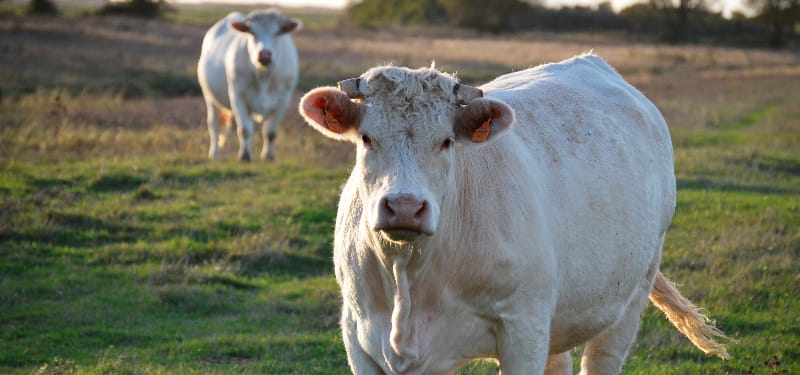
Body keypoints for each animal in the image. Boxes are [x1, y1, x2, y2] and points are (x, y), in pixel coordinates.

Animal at [197, 8, 300, 162]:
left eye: (277, 32)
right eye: (252, 32)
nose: (264, 54)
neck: (263, 76)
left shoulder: (283, 100)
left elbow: (271, 131)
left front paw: (268, 156)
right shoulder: (238, 97)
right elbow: (245, 129)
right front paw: (244, 155)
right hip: (210, 97)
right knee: (214, 125)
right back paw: (214, 153)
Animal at [296, 53, 728, 375]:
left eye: (447, 141)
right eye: (367, 138)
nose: (404, 206)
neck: (410, 274)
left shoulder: (523, 330)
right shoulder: (360, 336)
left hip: (631, 294)